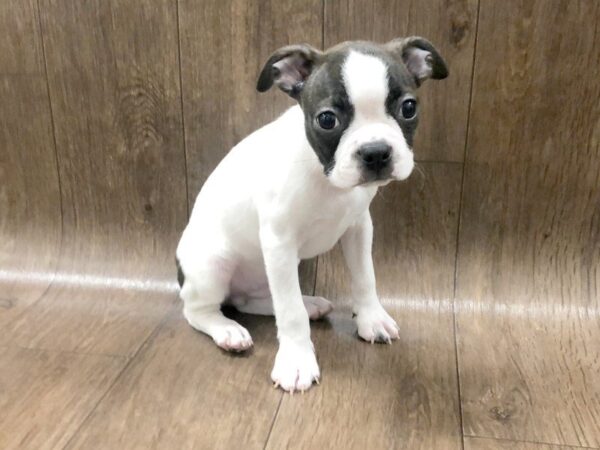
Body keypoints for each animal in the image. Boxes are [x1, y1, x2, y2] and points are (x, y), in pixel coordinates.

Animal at [176, 37, 448, 392]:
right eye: (327, 120)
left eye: (409, 108)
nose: (376, 152)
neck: (324, 175)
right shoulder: (279, 242)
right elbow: (290, 313)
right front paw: (296, 360)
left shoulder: (359, 228)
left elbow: (365, 277)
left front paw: (371, 318)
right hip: (213, 266)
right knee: (199, 310)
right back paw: (227, 329)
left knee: (256, 300)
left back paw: (309, 304)